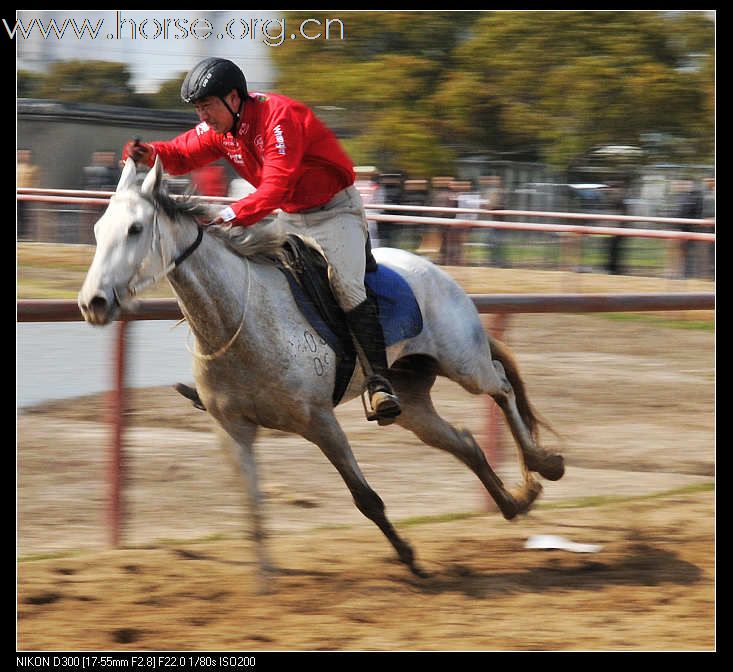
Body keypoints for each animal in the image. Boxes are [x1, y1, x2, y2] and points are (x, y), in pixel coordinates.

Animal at [77, 156, 564, 584]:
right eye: (99, 229)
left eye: (136, 228)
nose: (92, 303)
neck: (239, 317)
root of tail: (433, 269)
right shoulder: (233, 428)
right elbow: (253, 507)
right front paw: (265, 582)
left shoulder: (320, 422)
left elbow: (366, 499)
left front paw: (411, 560)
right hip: (410, 404)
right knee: (465, 443)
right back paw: (516, 501)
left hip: (463, 363)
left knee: (501, 385)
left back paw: (543, 464)